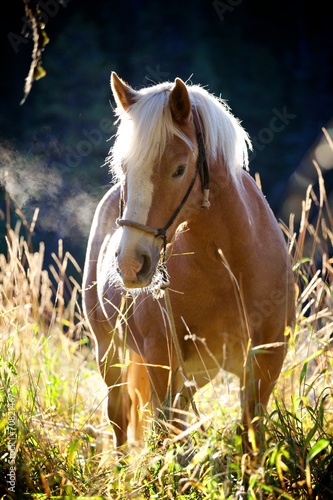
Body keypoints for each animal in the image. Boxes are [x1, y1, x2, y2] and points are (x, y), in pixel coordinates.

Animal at [81, 72, 294, 452]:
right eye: (123, 168)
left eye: (179, 169)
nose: (131, 264)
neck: (230, 267)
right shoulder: (162, 360)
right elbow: (168, 437)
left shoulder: (267, 360)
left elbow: (250, 435)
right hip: (109, 349)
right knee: (120, 417)